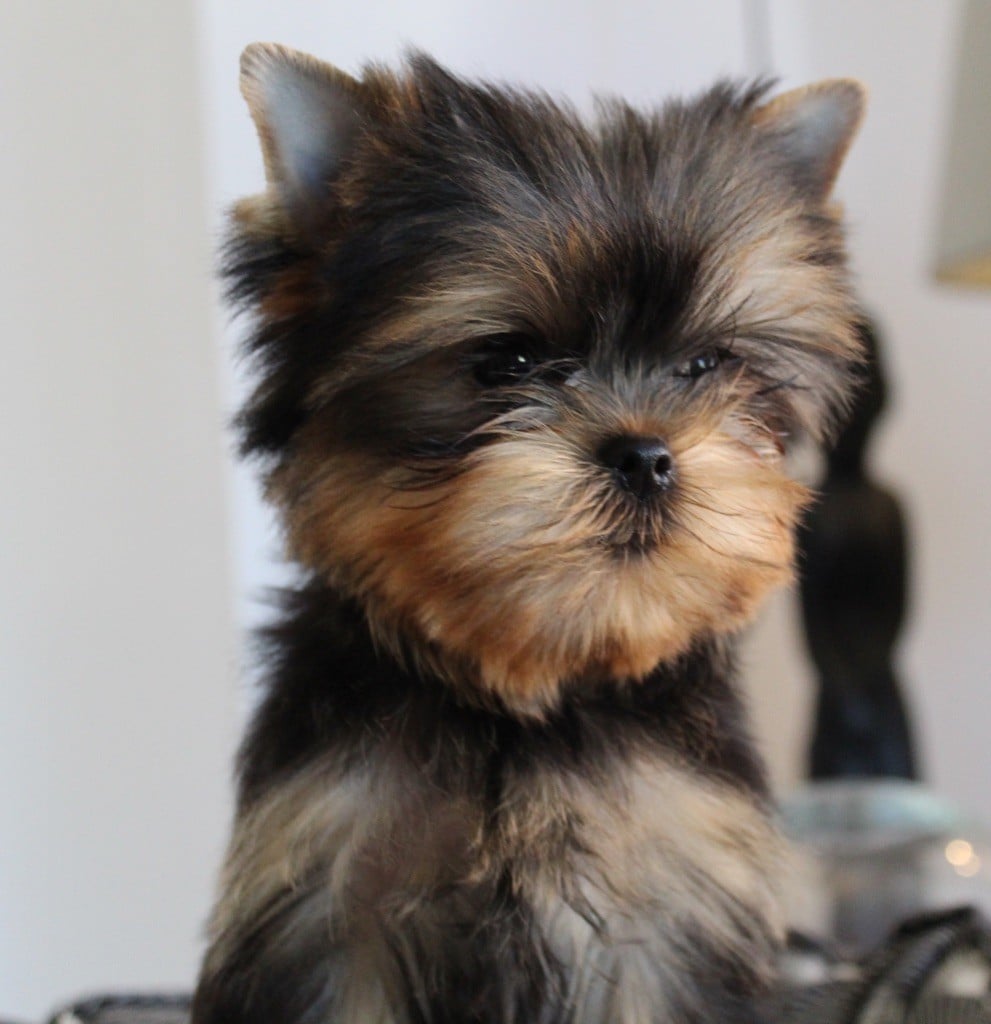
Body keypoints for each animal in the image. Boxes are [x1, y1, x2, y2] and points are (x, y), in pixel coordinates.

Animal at [192, 43, 865, 1024]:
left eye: (705, 364)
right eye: (504, 362)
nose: (644, 456)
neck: (527, 686)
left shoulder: (670, 902)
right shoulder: (330, 895)